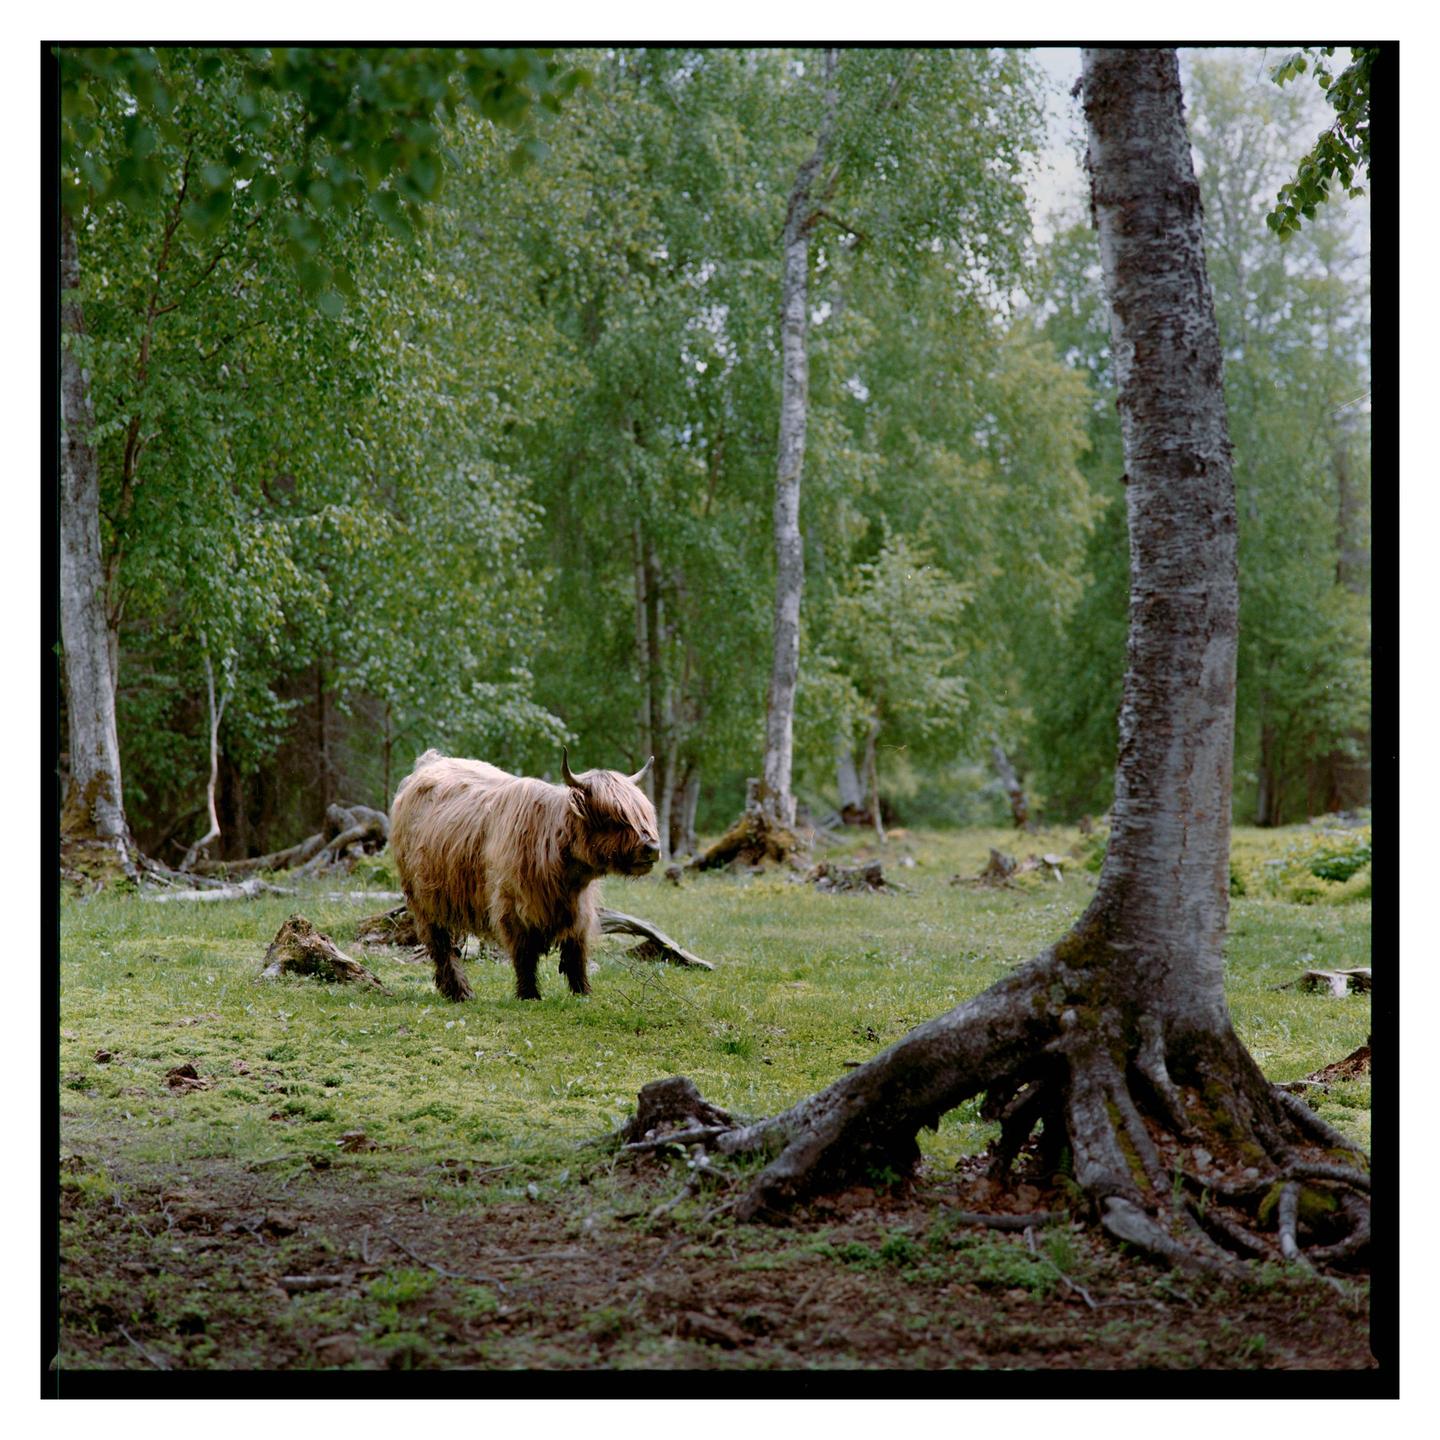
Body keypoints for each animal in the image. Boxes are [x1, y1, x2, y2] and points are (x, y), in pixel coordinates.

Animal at [389, 748, 661, 1002]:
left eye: (645, 814)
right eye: (611, 816)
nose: (653, 848)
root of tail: (429, 761)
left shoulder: (580, 913)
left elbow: (576, 954)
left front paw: (583, 992)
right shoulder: (513, 908)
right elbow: (525, 956)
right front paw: (529, 994)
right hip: (424, 899)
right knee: (441, 945)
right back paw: (460, 992)